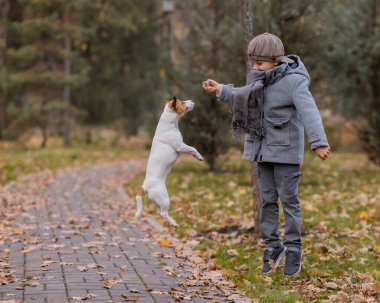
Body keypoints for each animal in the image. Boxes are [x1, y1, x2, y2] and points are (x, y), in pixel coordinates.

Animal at [135, 96, 203, 227]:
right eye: (182, 102)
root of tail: (144, 186)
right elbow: (193, 148)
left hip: (158, 201)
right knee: (163, 213)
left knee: (159, 212)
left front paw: (195, 156)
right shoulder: (180, 146)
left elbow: (192, 150)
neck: (169, 122)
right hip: (165, 199)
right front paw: (199, 156)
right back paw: (173, 223)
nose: (193, 100)